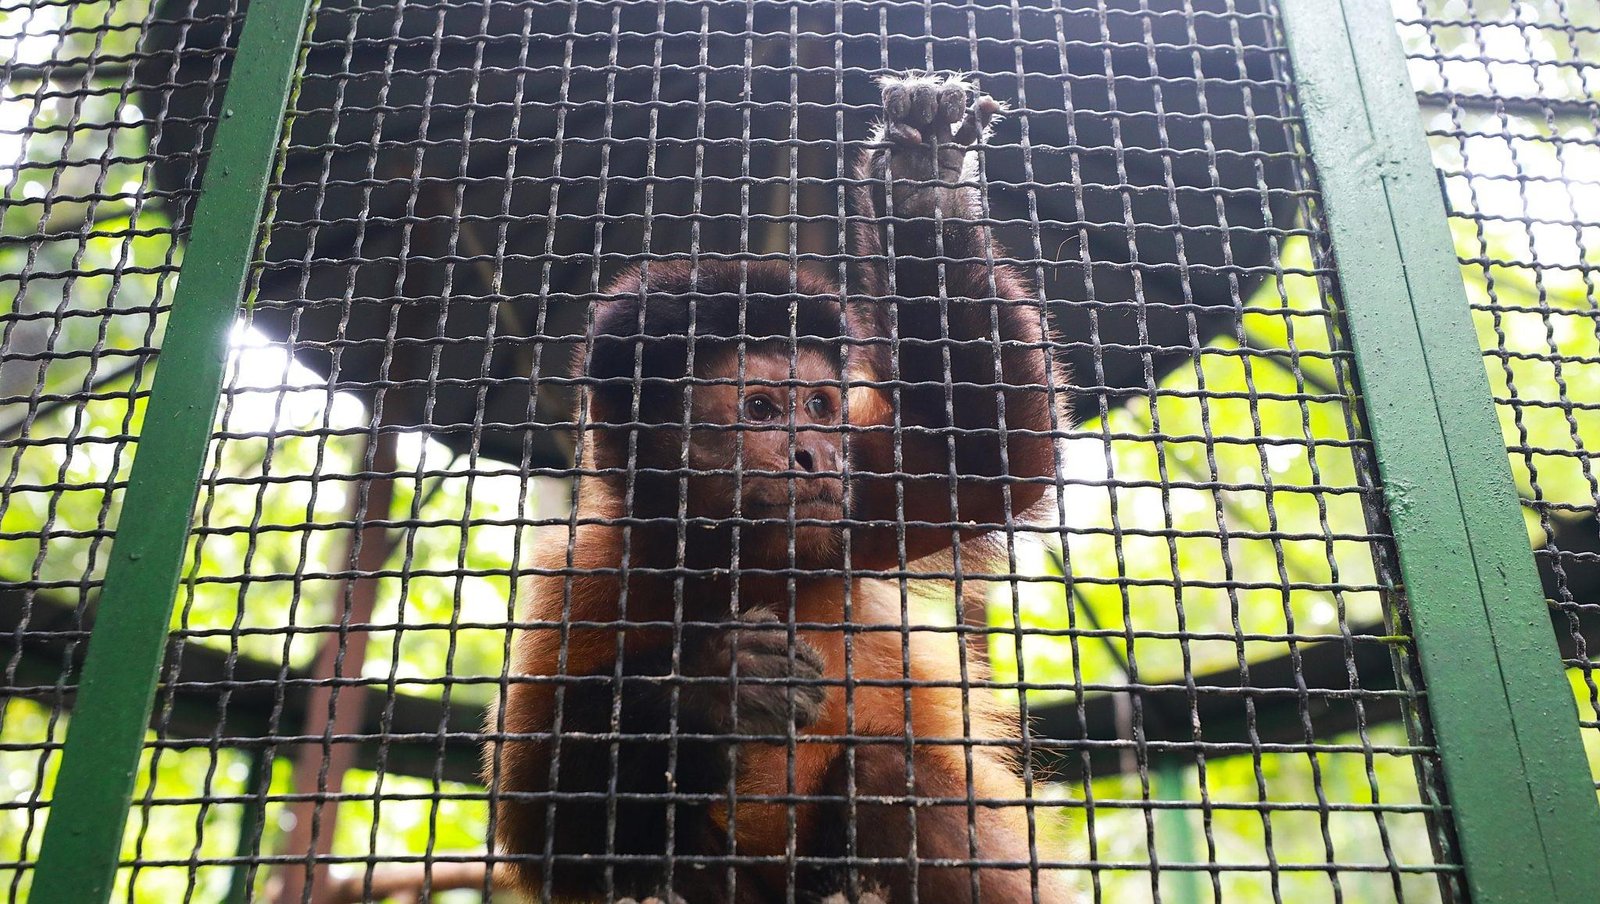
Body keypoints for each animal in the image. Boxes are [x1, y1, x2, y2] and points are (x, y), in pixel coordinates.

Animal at [483, 74, 1074, 904]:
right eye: (761, 409)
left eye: (819, 407)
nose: (811, 455)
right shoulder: (586, 576)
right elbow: (541, 828)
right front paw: (711, 688)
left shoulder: (858, 491)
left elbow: (990, 456)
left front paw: (922, 187)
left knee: (885, 769)